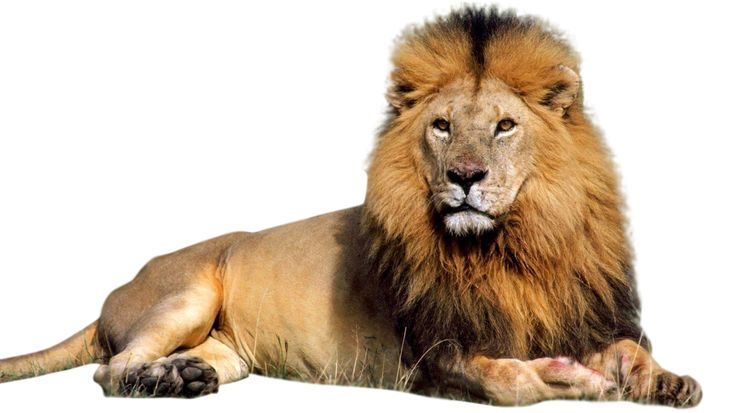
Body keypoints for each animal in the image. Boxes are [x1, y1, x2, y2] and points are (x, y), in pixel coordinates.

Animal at [0, 6, 701, 407]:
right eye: (442, 126)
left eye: (504, 126)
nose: (464, 176)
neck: (512, 247)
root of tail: (114, 295)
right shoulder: (432, 356)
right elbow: (512, 382)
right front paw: (572, 380)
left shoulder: (575, 311)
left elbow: (632, 351)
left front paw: (667, 381)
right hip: (186, 293)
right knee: (111, 368)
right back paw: (156, 382)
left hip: (228, 349)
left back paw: (185, 377)